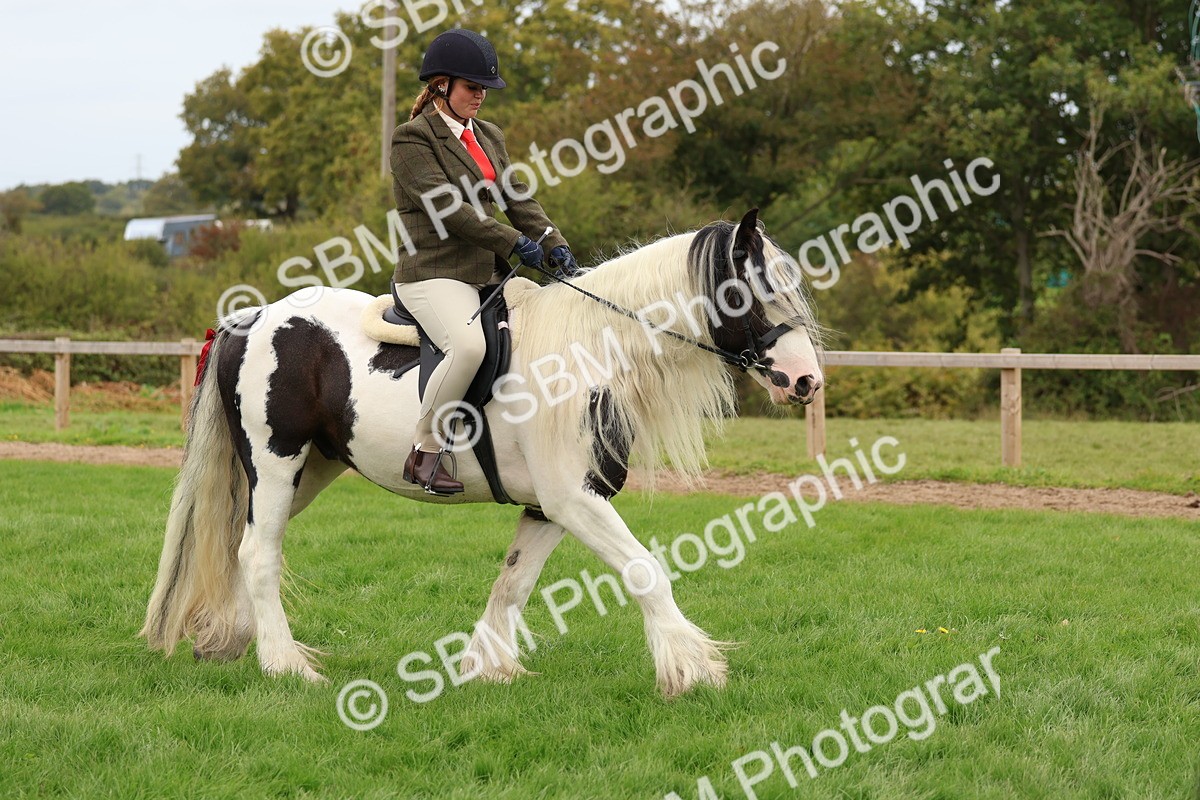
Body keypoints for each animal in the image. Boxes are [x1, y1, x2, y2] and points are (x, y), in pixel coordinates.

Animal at [139, 208, 824, 697]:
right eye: (753, 291)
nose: (806, 381)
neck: (587, 352)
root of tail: (250, 318)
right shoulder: (576, 501)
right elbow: (644, 571)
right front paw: (692, 670)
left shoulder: (553, 507)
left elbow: (513, 583)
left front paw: (487, 667)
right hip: (276, 463)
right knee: (258, 554)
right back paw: (286, 667)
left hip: (307, 471)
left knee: (239, 540)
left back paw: (229, 640)